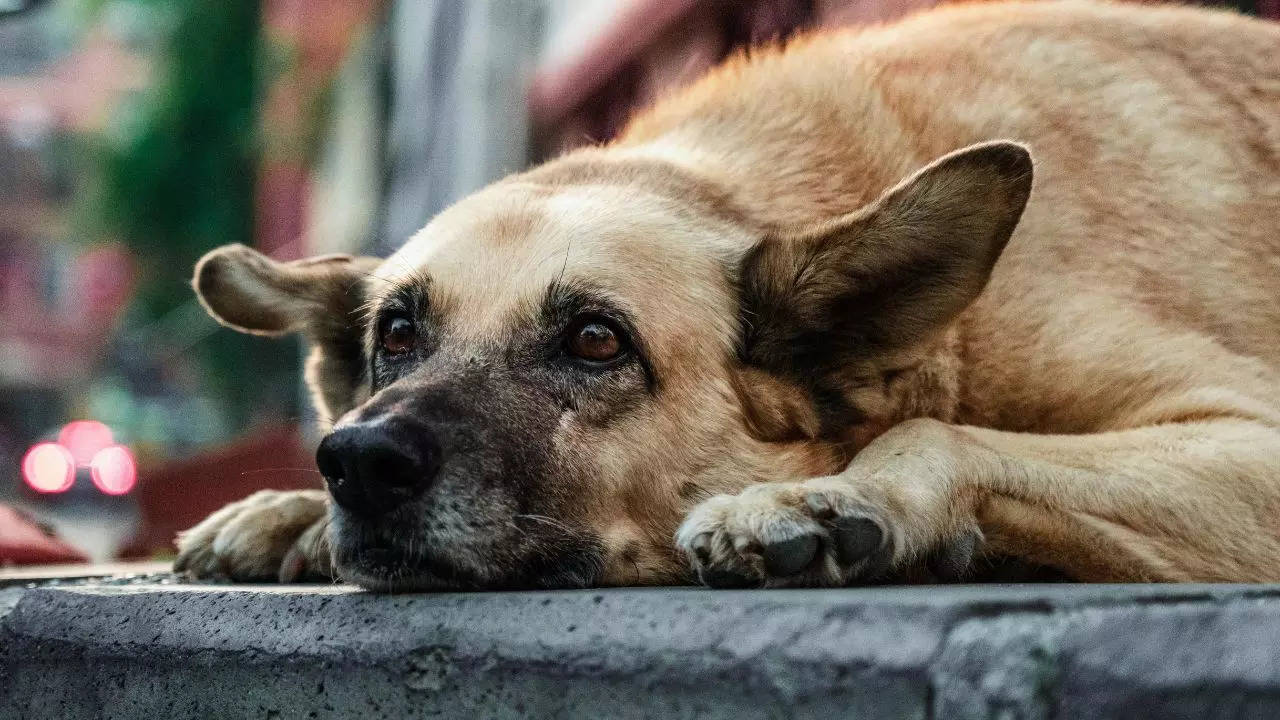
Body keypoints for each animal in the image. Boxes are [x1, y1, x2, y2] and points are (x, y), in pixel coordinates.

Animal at [172, 1, 1280, 589]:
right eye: (397, 333)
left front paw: (830, 496)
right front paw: (289, 513)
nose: (357, 462)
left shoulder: (1250, 438)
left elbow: (937, 433)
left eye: (595, 341)